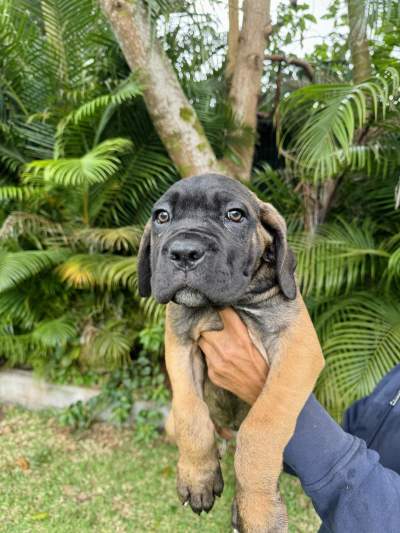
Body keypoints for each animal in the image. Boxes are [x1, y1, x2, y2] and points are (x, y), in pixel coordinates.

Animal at [138, 175, 324, 532]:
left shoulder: (298, 348)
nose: (184, 252)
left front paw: (258, 509)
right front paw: (198, 476)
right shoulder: (179, 342)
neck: (230, 303)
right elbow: (191, 414)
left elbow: (262, 427)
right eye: (162, 217)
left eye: (234, 215)